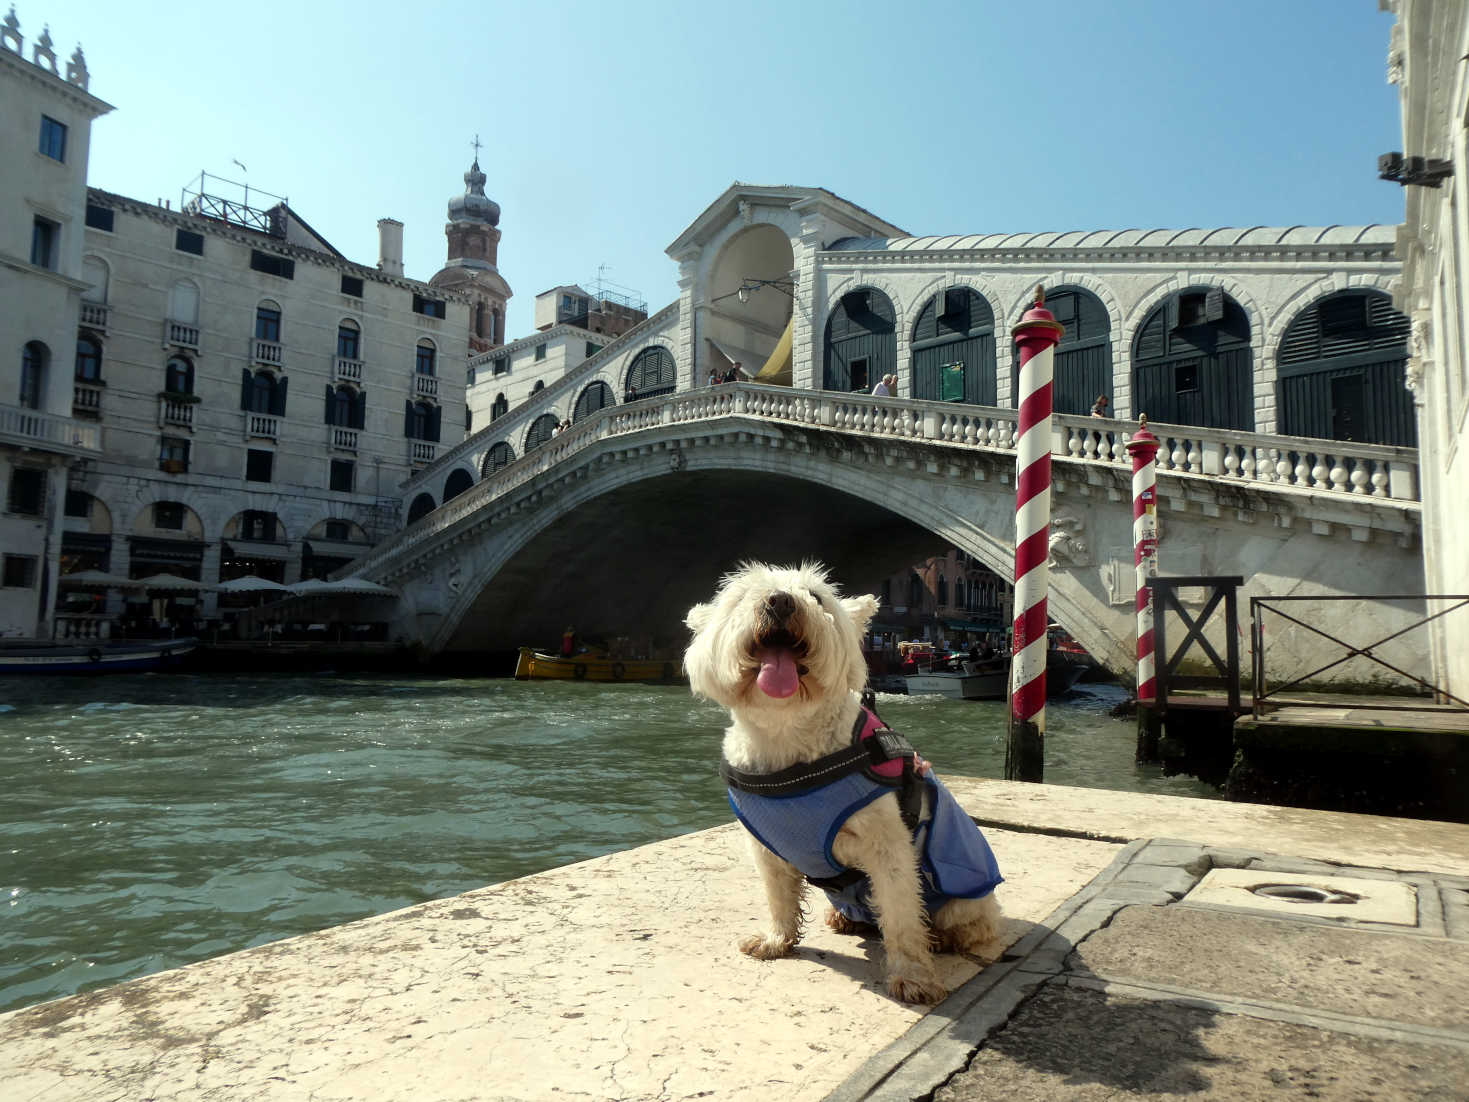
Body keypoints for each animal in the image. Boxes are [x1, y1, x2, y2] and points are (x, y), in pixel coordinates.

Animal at [681, 564, 1004, 1005]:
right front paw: (776, 941)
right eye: (743, 596)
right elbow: (778, 896)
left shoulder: (889, 845)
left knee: (973, 922)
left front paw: (913, 977)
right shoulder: (766, 848)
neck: (787, 736)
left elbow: (901, 913)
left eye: (816, 597)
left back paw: (943, 937)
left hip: (964, 899)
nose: (780, 601)